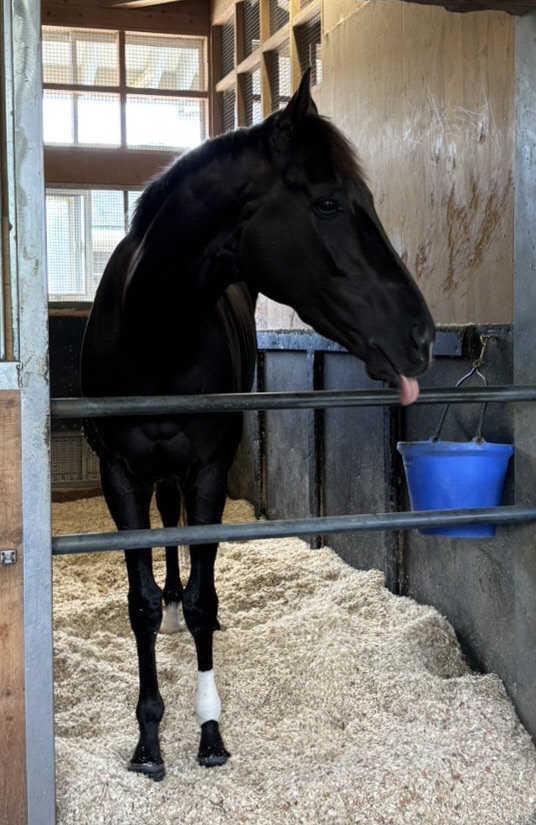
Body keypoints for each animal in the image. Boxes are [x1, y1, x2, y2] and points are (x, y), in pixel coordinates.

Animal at [80, 70, 435, 781]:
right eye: (328, 203)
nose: (422, 337)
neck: (151, 336)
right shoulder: (120, 476)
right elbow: (141, 604)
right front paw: (148, 740)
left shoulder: (209, 470)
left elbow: (203, 600)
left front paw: (209, 731)